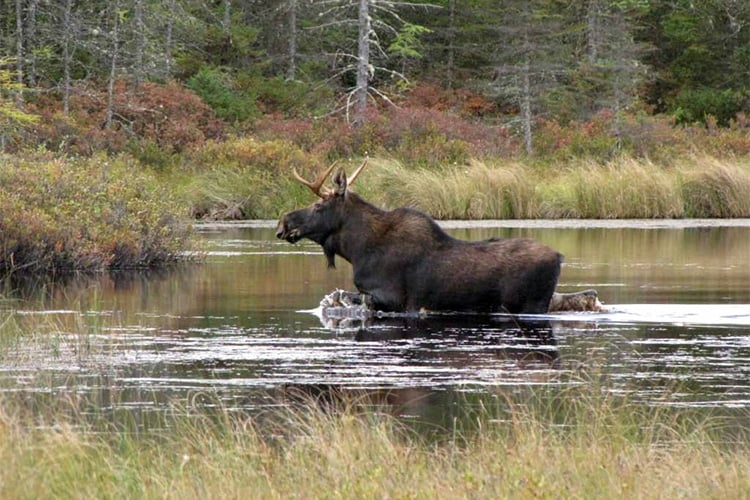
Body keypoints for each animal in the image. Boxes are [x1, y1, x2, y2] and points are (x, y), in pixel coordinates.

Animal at [280, 162, 604, 314]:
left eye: (318, 205)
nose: (284, 222)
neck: (357, 249)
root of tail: (560, 257)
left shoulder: (393, 299)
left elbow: (341, 298)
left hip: (530, 304)